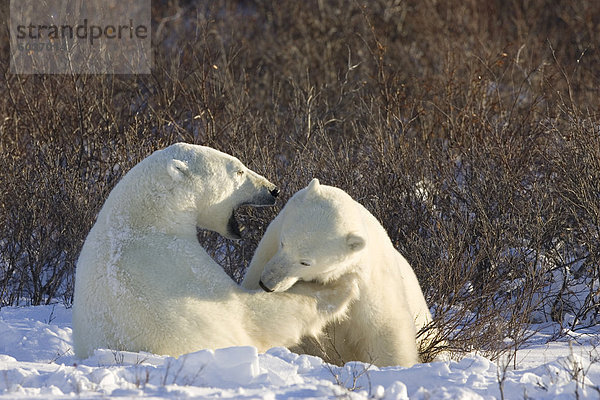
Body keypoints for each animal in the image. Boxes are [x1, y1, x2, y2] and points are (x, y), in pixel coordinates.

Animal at [72, 145, 358, 360]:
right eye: (239, 170)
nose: (273, 190)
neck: (142, 220)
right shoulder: (184, 267)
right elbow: (252, 314)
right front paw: (342, 286)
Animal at [241, 180, 434, 368]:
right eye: (283, 243)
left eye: (305, 262)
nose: (267, 284)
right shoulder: (267, 249)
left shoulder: (370, 284)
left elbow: (385, 329)